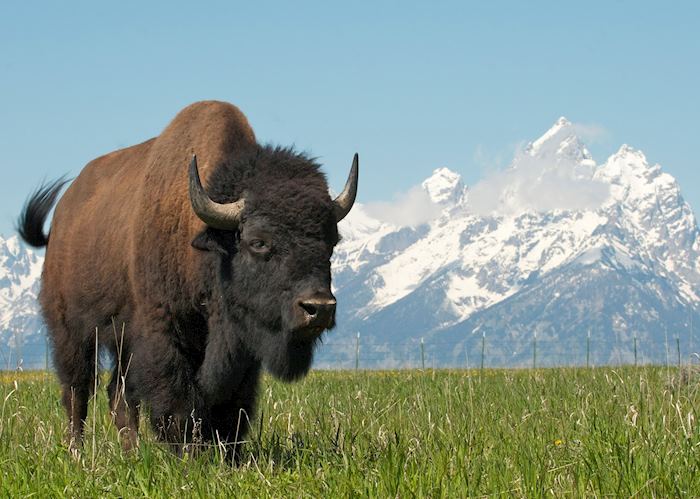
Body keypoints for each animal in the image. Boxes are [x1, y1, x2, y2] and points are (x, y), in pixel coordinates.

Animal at [17, 101, 358, 455]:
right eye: (258, 242)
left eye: (331, 241)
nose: (319, 308)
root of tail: (61, 218)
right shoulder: (163, 333)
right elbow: (177, 398)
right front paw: (188, 453)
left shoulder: (241, 350)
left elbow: (231, 405)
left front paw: (227, 454)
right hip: (71, 331)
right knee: (77, 391)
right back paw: (77, 452)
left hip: (121, 341)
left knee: (118, 397)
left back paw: (131, 452)